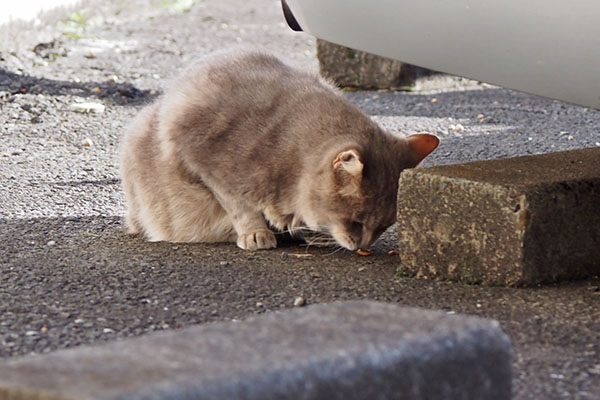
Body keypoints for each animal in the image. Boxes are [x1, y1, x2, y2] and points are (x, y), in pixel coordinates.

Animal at [120, 49, 440, 250]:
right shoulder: (204, 160)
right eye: (356, 222)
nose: (364, 246)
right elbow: (240, 206)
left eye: (385, 226)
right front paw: (256, 233)